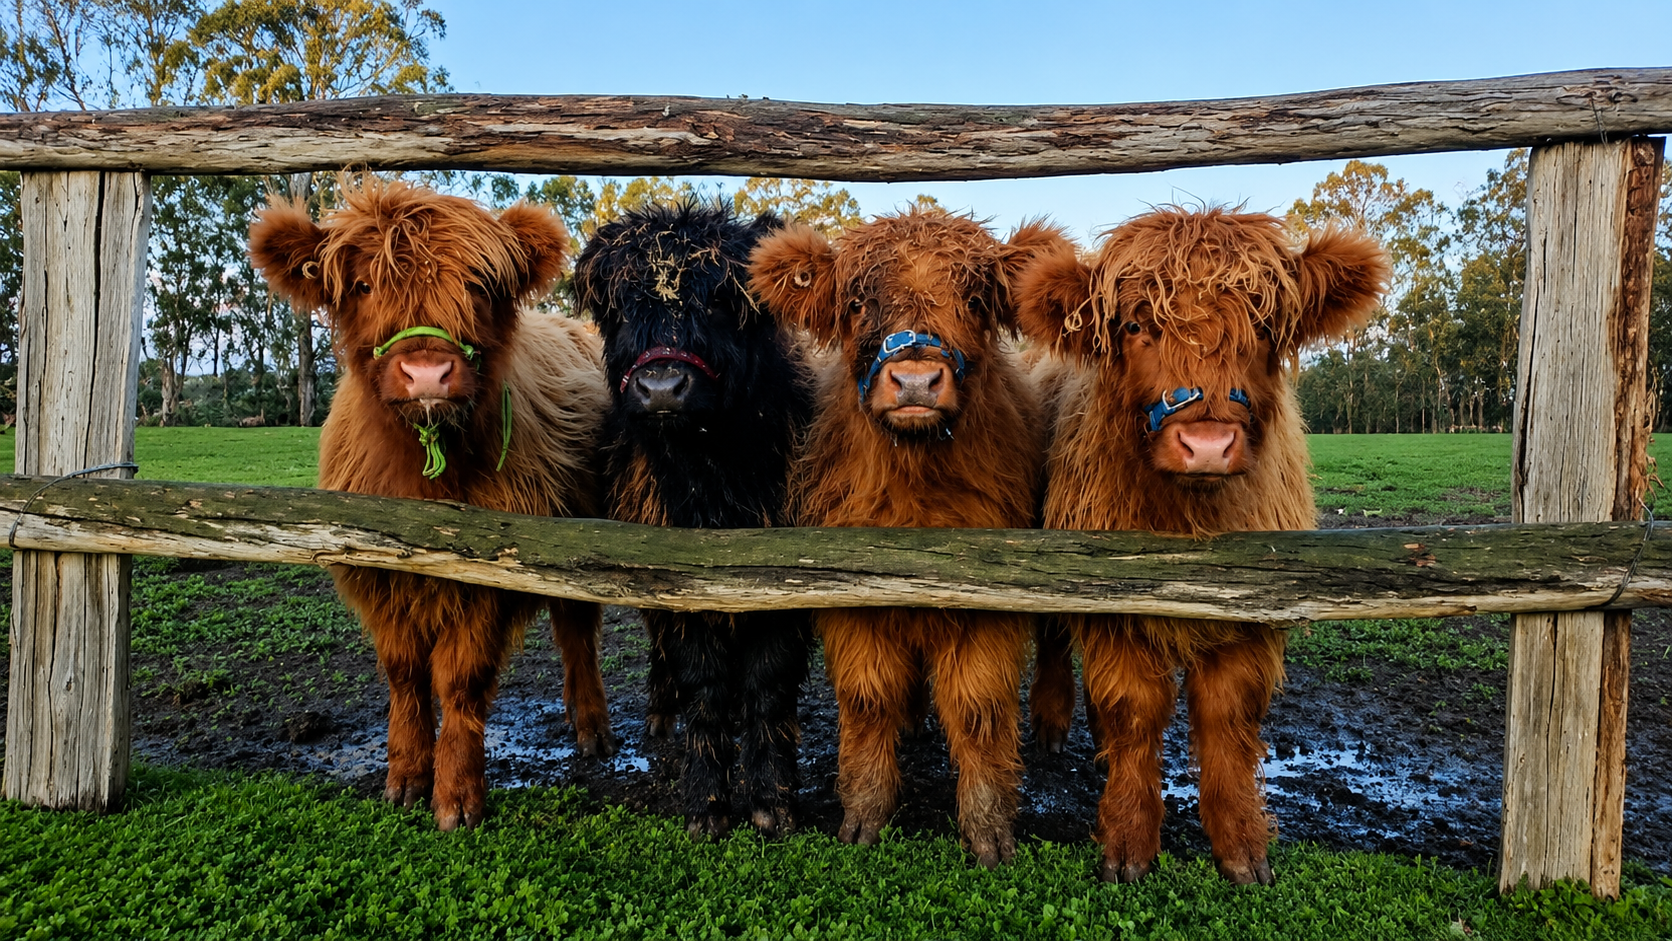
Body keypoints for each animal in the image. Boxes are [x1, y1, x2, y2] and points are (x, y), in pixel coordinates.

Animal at [249, 177, 614, 830]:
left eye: (477, 285)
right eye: (363, 285)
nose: (426, 373)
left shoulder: (494, 578)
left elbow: (460, 680)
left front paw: (458, 796)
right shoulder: (375, 577)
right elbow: (405, 675)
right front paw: (405, 778)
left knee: (577, 631)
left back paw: (592, 727)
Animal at [573, 202, 816, 839]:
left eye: (720, 302)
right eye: (623, 308)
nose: (662, 388)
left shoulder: (792, 586)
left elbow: (767, 684)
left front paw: (772, 800)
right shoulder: (676, 584)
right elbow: (703, 685)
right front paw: (707, 802)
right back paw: (661, 716)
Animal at [749, 206, 1071, 866]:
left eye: (974, 299)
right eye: (854, 303)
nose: (917, 381)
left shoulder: (991, 607)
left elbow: (977, 708)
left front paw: (988, 830)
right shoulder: (853, 602)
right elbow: (870, 699)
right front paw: (864, 815)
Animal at [1016, 206, 1388, 884]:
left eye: (1263, 325)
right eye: (1136, 324)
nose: (1208, 445)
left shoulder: (1252, 614)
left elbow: (1227, 716)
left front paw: (1241, 846)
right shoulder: (1113, 605)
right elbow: (1135, 711)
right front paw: (1129, 841)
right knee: (1055, 635)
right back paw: (1054, 726)